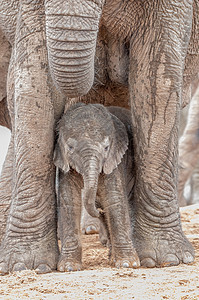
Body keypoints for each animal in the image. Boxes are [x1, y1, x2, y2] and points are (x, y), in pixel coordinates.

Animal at [53, 103, 139, 272]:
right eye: (70, 147)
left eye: (106, 148)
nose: (98, 211)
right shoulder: (66, 167)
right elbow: (69, 201)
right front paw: (68, 267)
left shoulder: (114, 161)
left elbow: (114, 200)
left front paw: (128, 264)